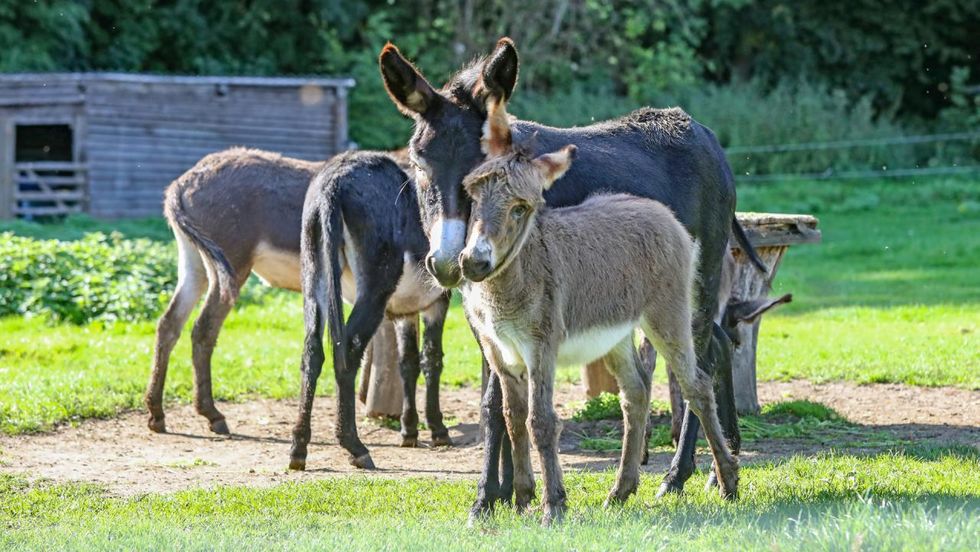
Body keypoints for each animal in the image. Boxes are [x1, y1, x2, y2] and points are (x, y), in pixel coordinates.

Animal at [458, 100, 736, 528]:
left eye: (521, 208)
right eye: (472, 197)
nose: (473, 263)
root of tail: (658, 210)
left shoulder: (541, 348)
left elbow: (541, 421)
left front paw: (553, 506)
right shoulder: (502, 355)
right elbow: (511, 417)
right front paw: (521, 499)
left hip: (670, 316)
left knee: (697, 386)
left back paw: (720, 482)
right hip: (617, 335)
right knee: (636, 393)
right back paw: (621, 490)